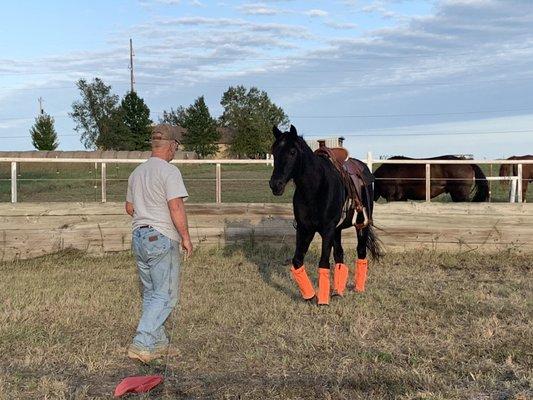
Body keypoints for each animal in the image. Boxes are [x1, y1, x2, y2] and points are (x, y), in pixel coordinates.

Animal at [268, 126, 380, 304]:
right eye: (274, 151)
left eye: (292, 152)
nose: (275, 184)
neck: (315, 188)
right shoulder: (305, 229)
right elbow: (297, 260)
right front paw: (310, 295)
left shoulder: (327, 230)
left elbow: (324, 262)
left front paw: (322, 301)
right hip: (337, 230)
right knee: (339, 255)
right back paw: (337, 292)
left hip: (361, 225)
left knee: (361, 251)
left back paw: (358, 289)